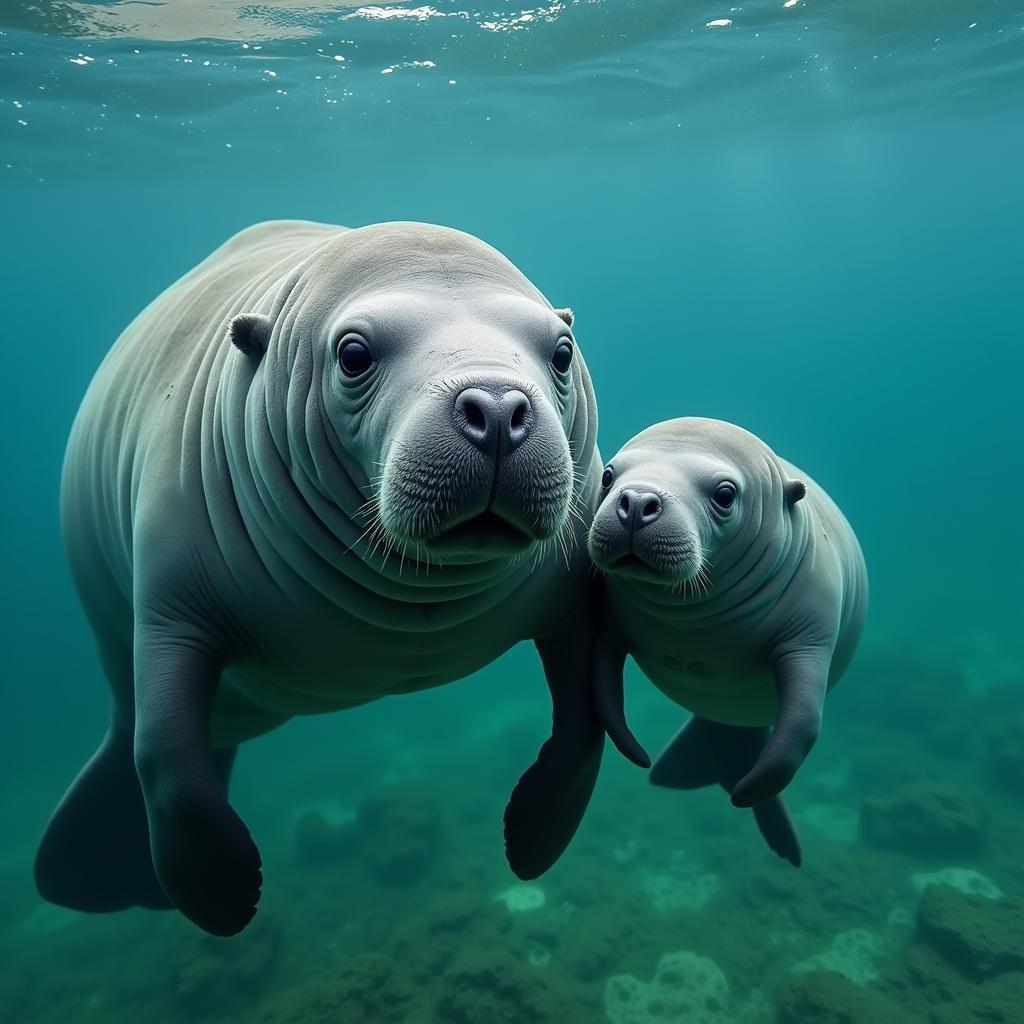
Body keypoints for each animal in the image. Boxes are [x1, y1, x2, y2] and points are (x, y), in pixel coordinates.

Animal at [36, 220, 602, 933]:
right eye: (353, 355)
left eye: (562, 352)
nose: (498, 406)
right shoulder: (170, 605)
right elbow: (167, 764)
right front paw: (226, 898)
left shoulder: (576, 597)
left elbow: (585, 727)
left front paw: (530, 844)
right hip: (121, 655)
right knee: (132, 740)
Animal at [589, 415, 868, 864]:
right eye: (608, 476)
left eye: (724, 495)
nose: (637, 499)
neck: (692, 616)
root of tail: (730, 728)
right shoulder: (609, 624)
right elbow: (602, 688)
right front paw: (635, 752)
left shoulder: (810, 637)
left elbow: (802, 724)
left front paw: (748, 792)